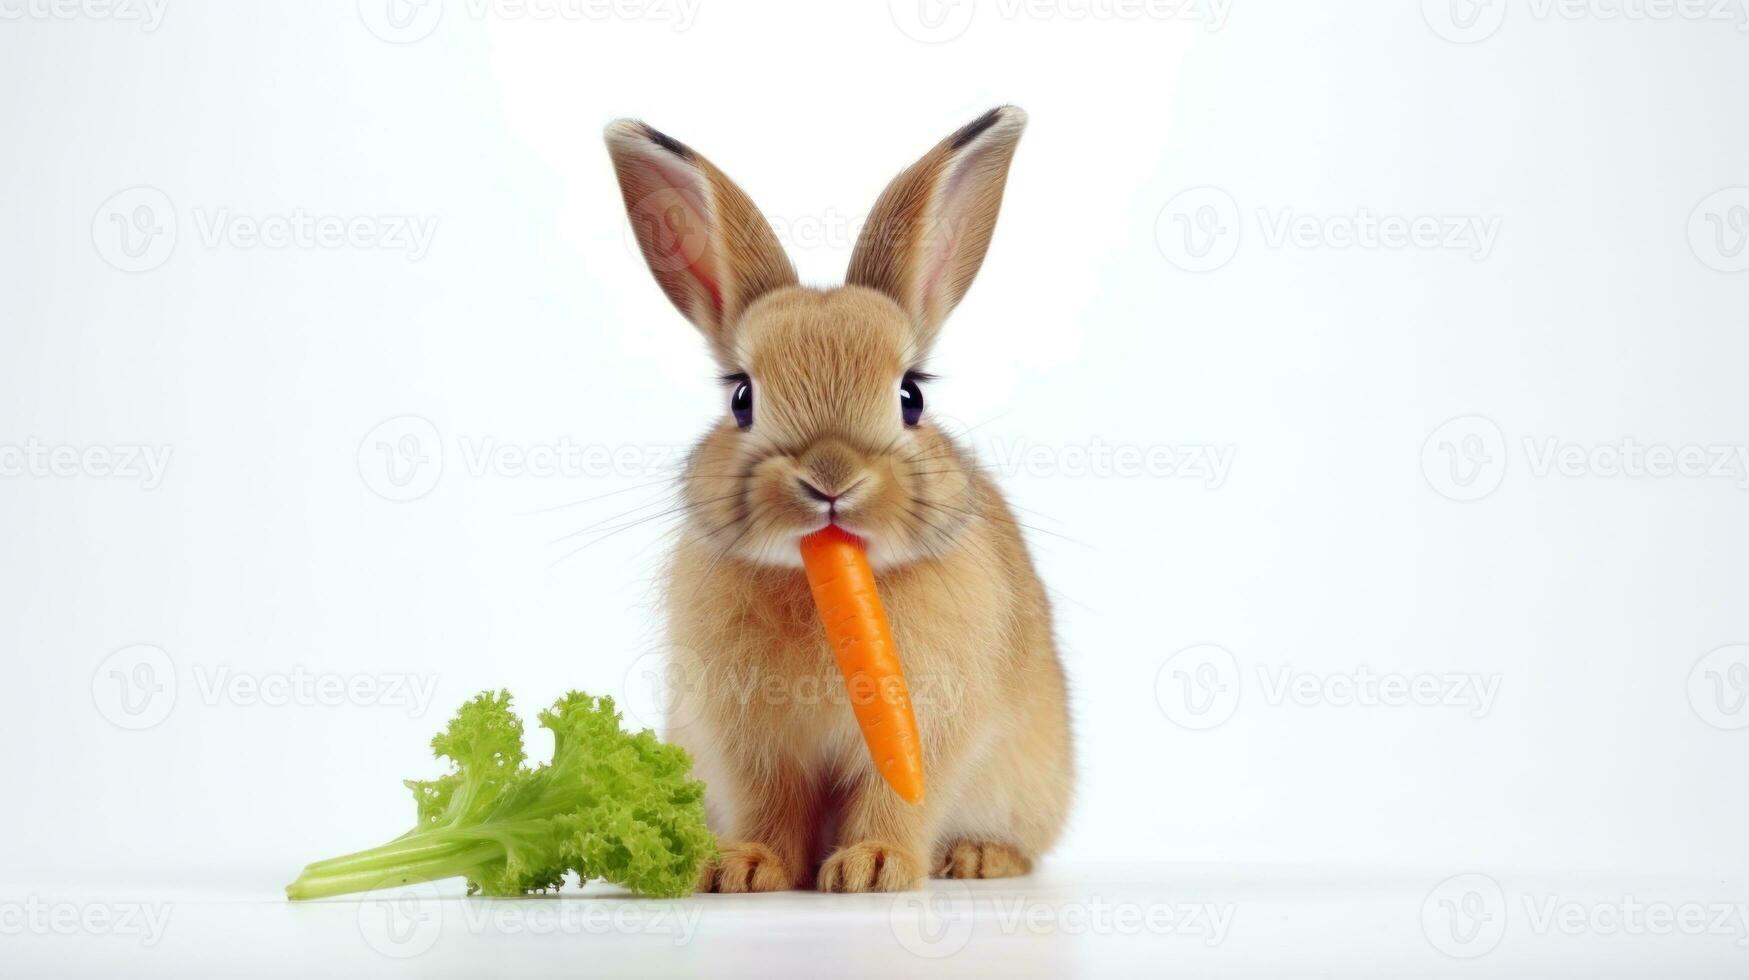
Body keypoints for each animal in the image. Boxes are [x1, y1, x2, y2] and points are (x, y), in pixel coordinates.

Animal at [601, 108, 1070, 896]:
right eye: (742, 397)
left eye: (911, 396)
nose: (830, 478)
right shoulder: (750, 742)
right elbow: (771, 802)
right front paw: (745, 868)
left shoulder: (923, 729)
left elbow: (898, 795)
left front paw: (872, 867)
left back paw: (976, 858)